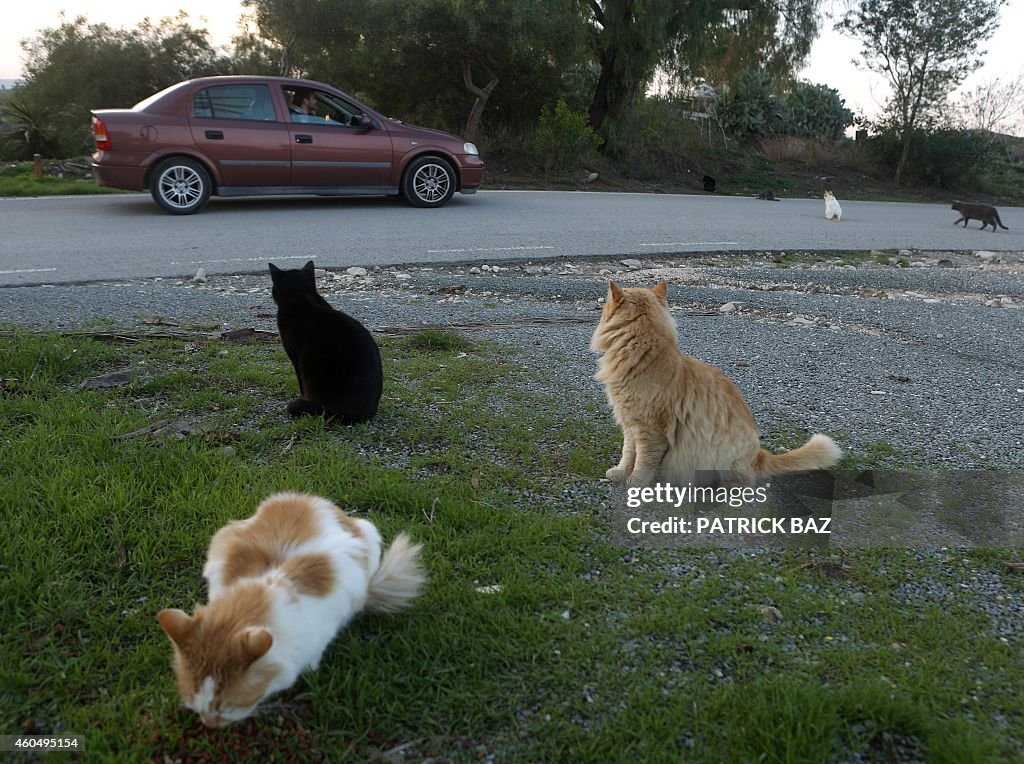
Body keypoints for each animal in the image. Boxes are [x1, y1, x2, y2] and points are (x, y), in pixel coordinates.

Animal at [154, 493, 423, 725]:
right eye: (195, 703)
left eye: (228, 707)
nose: (208, 724)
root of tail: (311, 497)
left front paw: (311, 669)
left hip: (370, 535)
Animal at [593, 280, 839, 487]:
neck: (643, 355)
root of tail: (759, 454)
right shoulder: (630, 424)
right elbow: (628, 454)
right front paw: (620, 472)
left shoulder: (650, 431)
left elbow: (643, 462)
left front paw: (635, 483)